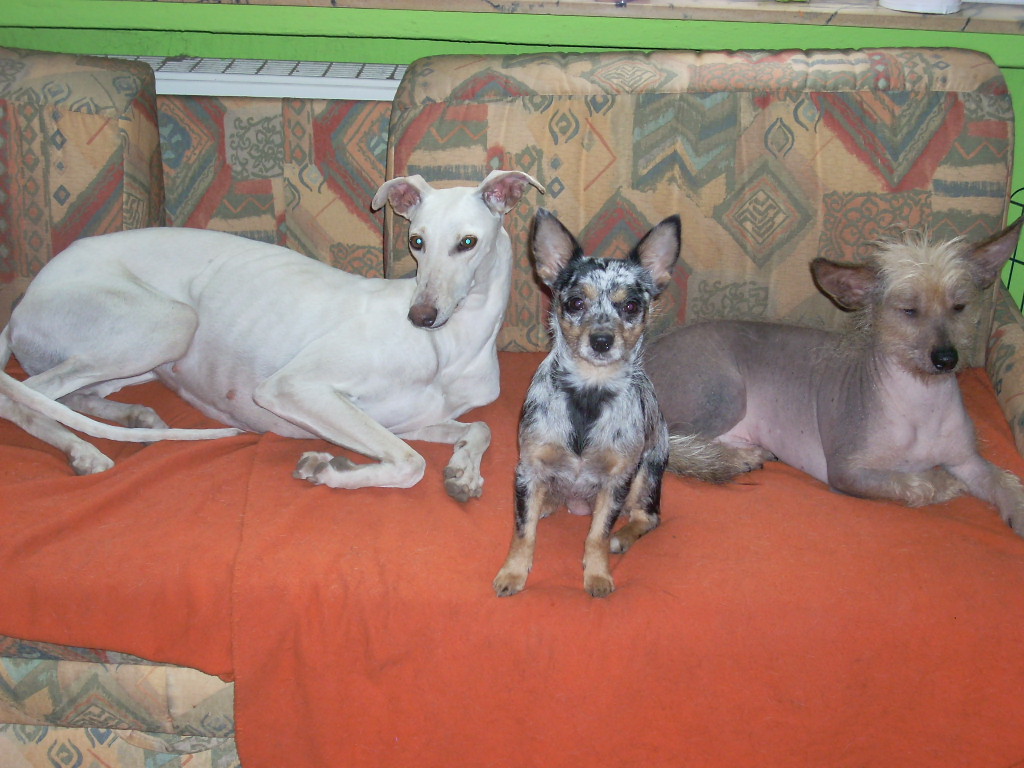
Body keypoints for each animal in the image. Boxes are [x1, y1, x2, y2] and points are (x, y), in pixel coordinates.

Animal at [0, 170, 543, 500]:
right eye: (416, 241)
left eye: (467, 242)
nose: (420, 314)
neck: (449, 347)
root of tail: (25, 297)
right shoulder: (293, 387)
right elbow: (411, 464)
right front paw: (330, 470)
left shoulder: (403, 420)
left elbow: (481, 427)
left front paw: (464, 471)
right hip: (168, 323)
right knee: (22, 396)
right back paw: (82, 450)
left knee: (72, 395)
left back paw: (134, 417)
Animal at [493, 209, 680, 597]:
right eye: (575, 303)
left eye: (631, 306)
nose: (602, 339)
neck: (589, 393)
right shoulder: (528, 466)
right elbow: (523, 532)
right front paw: (513, 573)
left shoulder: (617, 480)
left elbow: (598, 534)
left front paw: (597, 575)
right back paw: (547, 502)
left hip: (646, 473)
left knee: (647, 516)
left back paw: (622, 538)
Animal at [645, 218, 1024, 534]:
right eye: (909, 311)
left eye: (959, 306)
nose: (947, 358)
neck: (922, 399)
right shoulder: (849, 473)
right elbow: (913, 482)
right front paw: (943, 484)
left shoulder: (968, 461)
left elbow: (1003, 481)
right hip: (723, 396)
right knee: (671, 444)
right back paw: (734, 460)